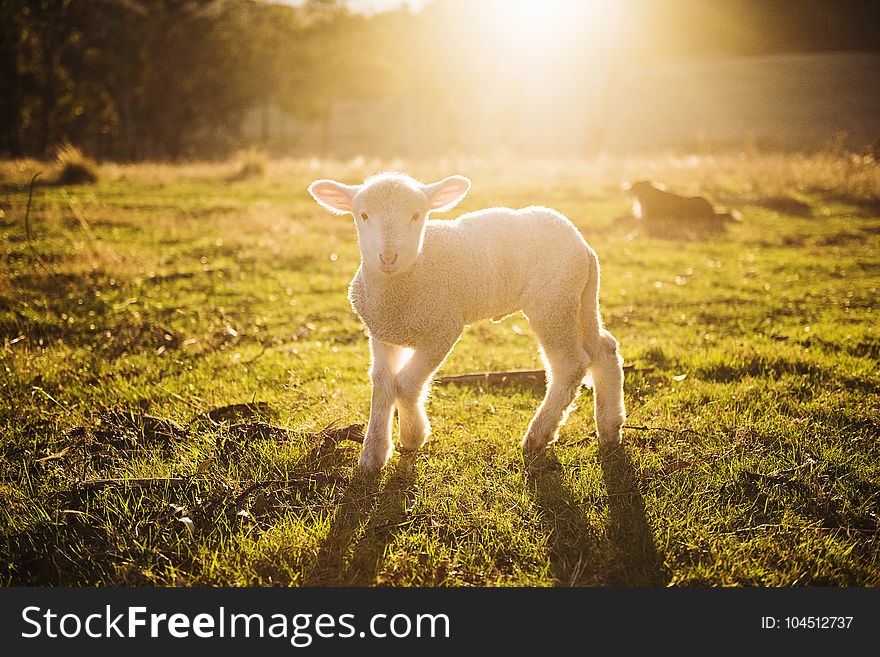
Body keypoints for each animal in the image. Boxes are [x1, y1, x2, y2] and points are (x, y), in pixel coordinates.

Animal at [310, 172, 624, 468]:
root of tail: (583, 245)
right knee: (604, 349)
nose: (388, 257)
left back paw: (538, 436)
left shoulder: (443, 329)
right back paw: (610, 428)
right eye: (363, 215)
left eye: (416, 214)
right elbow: (383, 382)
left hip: (553, 302)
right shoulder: (382, 332)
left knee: (569, 365)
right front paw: (373, 454)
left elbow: (407, 383)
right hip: (580, 298)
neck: (406, 282)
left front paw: (413, 436)